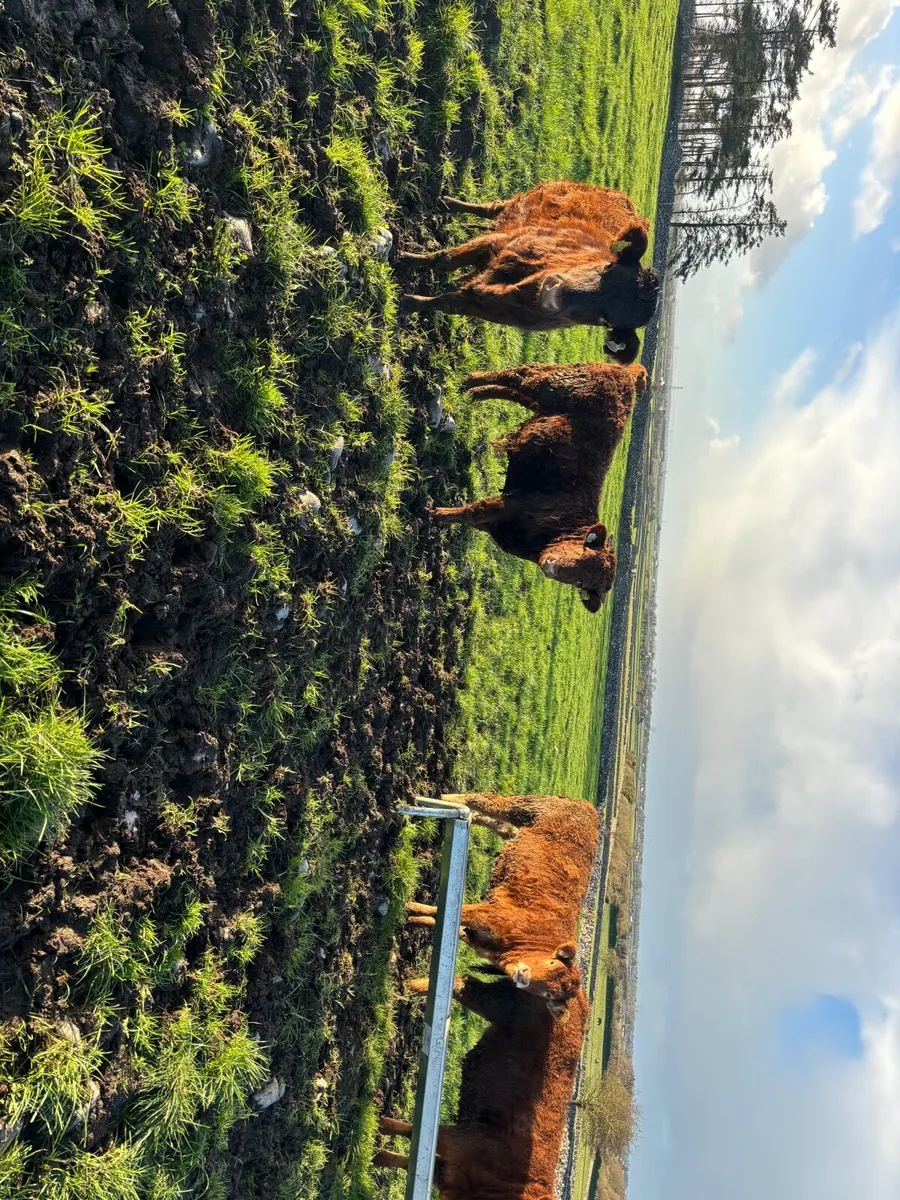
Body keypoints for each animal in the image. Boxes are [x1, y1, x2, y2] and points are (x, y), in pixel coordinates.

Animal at [375, 973, 588, 1200]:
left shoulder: (448, 1172)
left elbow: (408, 1159)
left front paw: (377, 1155)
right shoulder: (463, 1140)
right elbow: (417, 1132)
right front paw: (380, 1125)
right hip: (500, 1003)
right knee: (462, 984)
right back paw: (409, 988)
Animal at [398, 182, 660, 363]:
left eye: (605, 321)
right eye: (608, 266)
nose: (554, 295)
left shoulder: (488, 307)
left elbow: (448, 303)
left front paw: (409, 303)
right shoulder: (498, 242)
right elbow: (444, 259)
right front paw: (403, 258)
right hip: (523, 203)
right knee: (492, 208)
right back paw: (448, 202)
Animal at [406, 792, 600, 1015]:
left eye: (549, 995)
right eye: (551, 963)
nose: (523, 975)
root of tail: (589, 808)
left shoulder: (480, 938)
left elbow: (447, 920)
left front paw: (414, 920)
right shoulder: (490, 915)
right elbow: (454, 912)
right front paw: (410, 907)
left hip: (520, 825)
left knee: (499, 825)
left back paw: (468, 814)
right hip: (525, 807)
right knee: (487, 801)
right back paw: (448, 798)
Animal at [430, 361, 646, 612]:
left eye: (580, 582)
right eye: (583, 554)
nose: (550, 566)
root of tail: (625, 374)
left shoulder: (498, 522)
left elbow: (472, 517)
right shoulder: (512, 503)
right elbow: (474, 511)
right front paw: (436, 514)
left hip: (545, 398)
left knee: (513, 389)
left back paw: (471, 393)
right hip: (551, 386)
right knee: (515, 376)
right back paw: (469, 382)